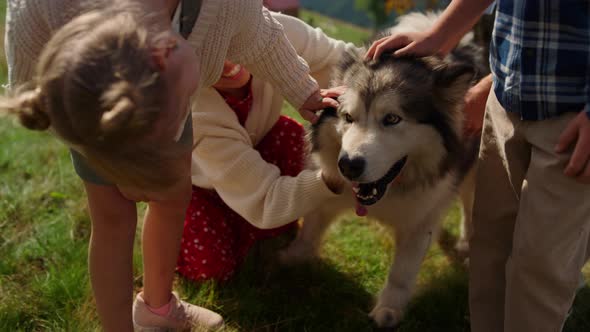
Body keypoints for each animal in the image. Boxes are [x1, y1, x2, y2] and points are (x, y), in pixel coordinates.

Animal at [280, 12, 492, 326]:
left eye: (392, 119)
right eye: (347, 117)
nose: (349, 166)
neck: (389, 191)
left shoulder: (420, 219)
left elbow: (402, 272)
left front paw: (389, 310)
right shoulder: (328, 191)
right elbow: (311, 228)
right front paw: (293, 257)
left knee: (470, 202)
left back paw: (467, 243)